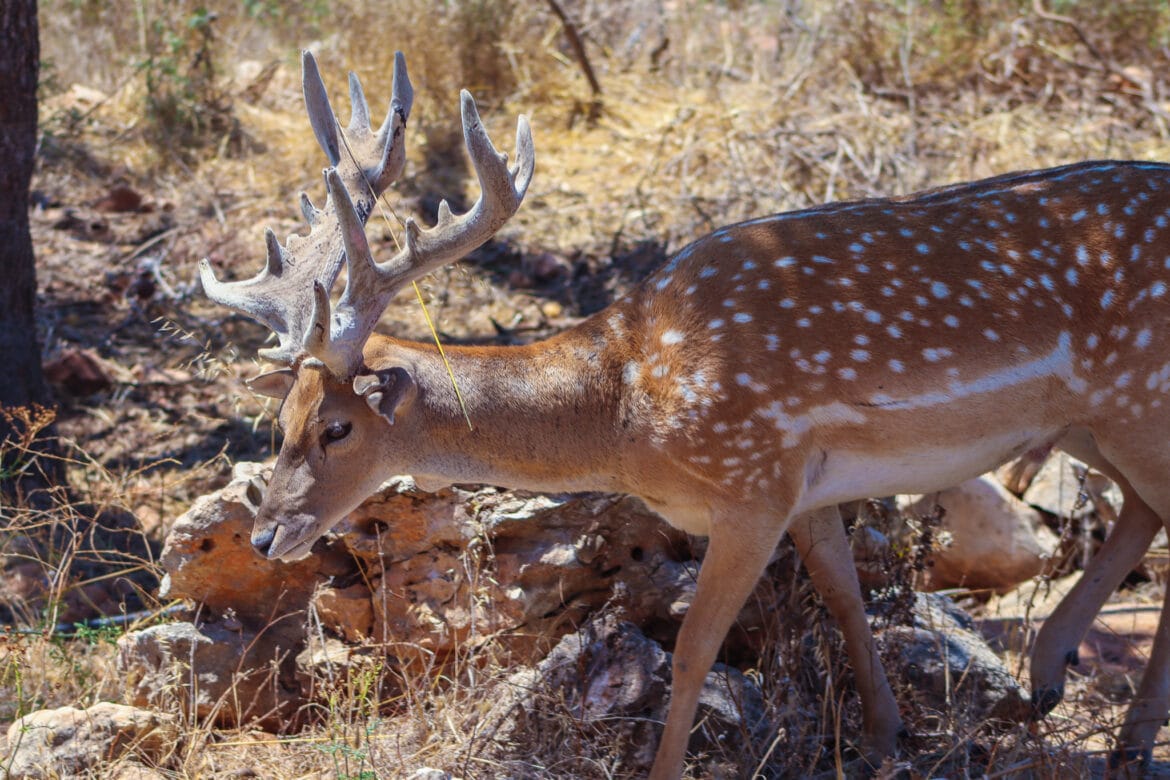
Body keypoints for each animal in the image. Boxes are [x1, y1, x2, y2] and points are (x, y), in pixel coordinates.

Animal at [201, 51, 1170, 777]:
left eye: (338, 428)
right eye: (280, 422)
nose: (266, 534)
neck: (627, 406)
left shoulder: (750, 483)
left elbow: (697, 650)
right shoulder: (802, 486)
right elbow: (844, 594)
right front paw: (886, 739)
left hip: (1138, 399)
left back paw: (1116, 732)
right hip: (1094, 423)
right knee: (1141, 510)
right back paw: (1048, 679)